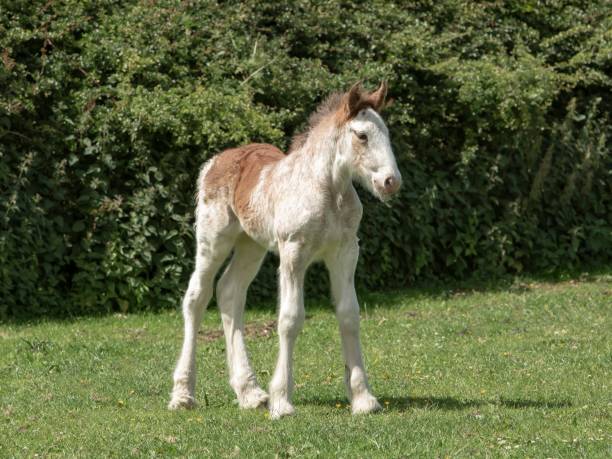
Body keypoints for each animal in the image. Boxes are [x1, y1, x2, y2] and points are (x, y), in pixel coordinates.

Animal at [170, 81, 404, 418]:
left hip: (251, 245)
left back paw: (250, 393)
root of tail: (214, 162)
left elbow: (349, 314)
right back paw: (183, 394)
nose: (390, 181)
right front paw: (281, 401)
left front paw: (363, 399)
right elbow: (290, 319)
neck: (327, 191)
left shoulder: (345, 251)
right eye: (362, 135)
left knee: (229, 292)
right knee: (196, 297)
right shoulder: (294, 252)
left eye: (386, 132)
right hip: (213, 239)